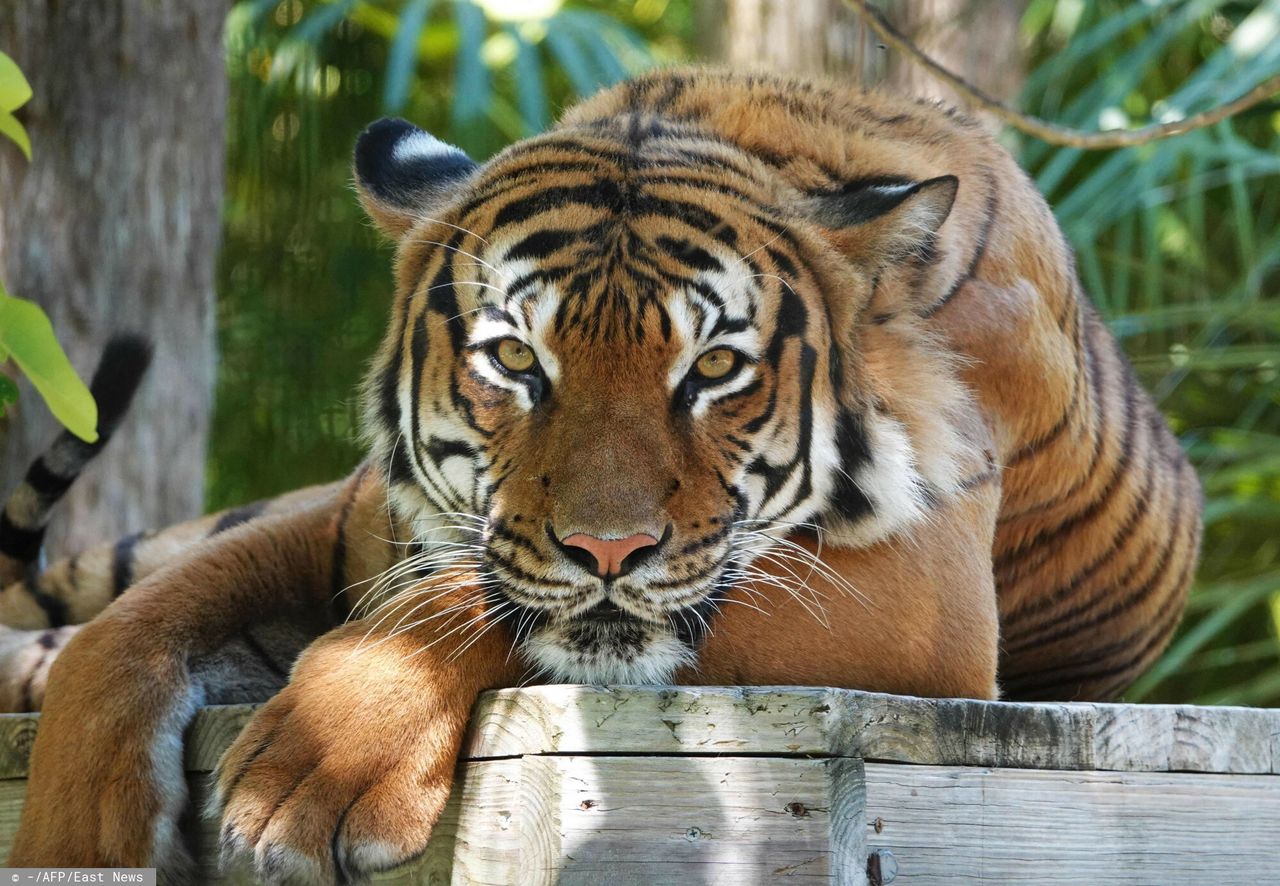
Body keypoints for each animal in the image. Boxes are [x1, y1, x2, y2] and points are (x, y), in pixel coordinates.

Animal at [7, 69, 1198, 880]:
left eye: (713, 367)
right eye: (515, 360)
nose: (608, 550)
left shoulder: (925, 606)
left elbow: (459, 602)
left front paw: (313, 770)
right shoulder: (349, 519)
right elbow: (129, 633)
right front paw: (77, 838)